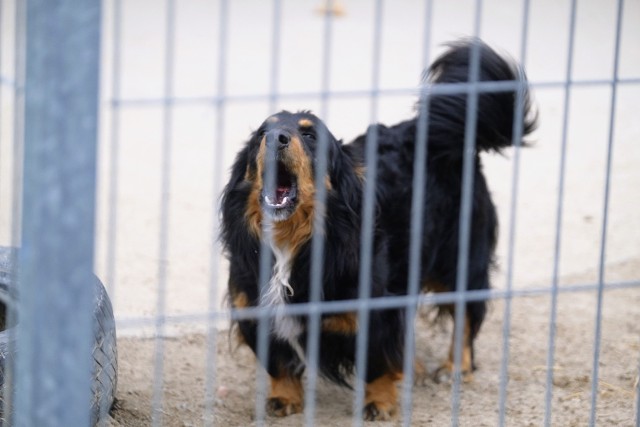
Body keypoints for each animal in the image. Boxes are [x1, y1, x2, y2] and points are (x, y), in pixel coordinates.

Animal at [220, 39, 536, 422]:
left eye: (310, 135)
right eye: (260, 135)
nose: (276, 138)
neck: (291, 240)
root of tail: (434, 133)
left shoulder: (377, 310)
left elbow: (379, 360)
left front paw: (380, 402)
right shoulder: (252, 304)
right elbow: (277, 363)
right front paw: (284, 396)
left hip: (459, 256)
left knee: (465, 312)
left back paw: (455, 367)